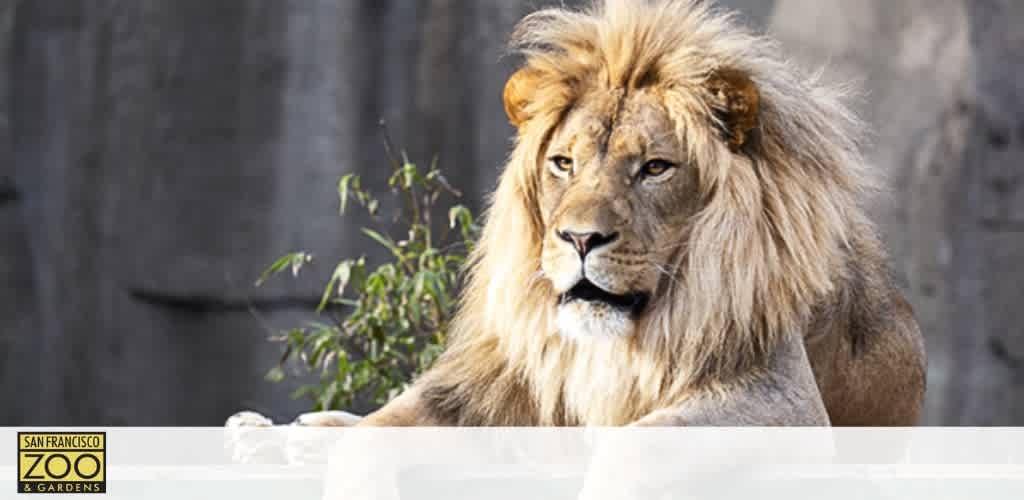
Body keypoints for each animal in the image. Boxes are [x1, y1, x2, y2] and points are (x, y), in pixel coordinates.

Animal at [230, 0, 929, 430]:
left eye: (655, 168)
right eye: (563, 163)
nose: (580, 238)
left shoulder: (784, 398)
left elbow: (636, 438)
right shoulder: (512, 372)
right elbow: (390, 420)